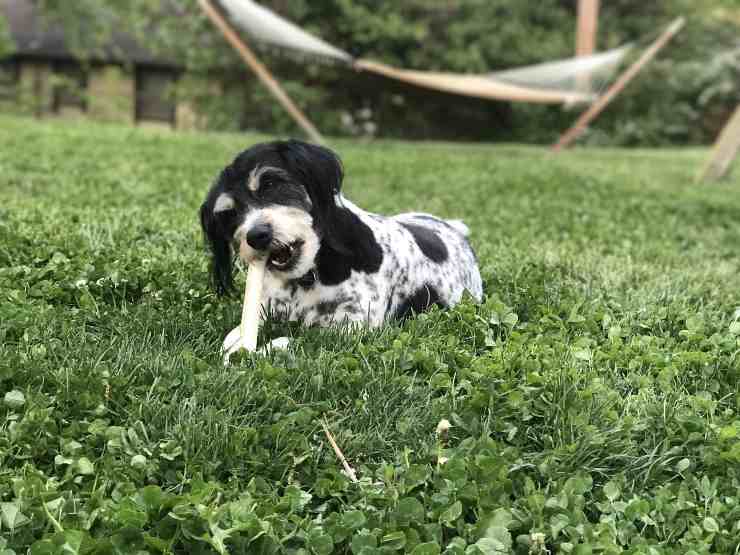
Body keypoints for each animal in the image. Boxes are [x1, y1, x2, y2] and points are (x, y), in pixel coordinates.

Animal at [199, 138, 482, 348]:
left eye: (270, 183)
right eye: (228, 214)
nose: (256, 236)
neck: (311, 276)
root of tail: (456, 229)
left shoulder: (352, 325)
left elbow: (297, 340)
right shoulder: (268, 310)